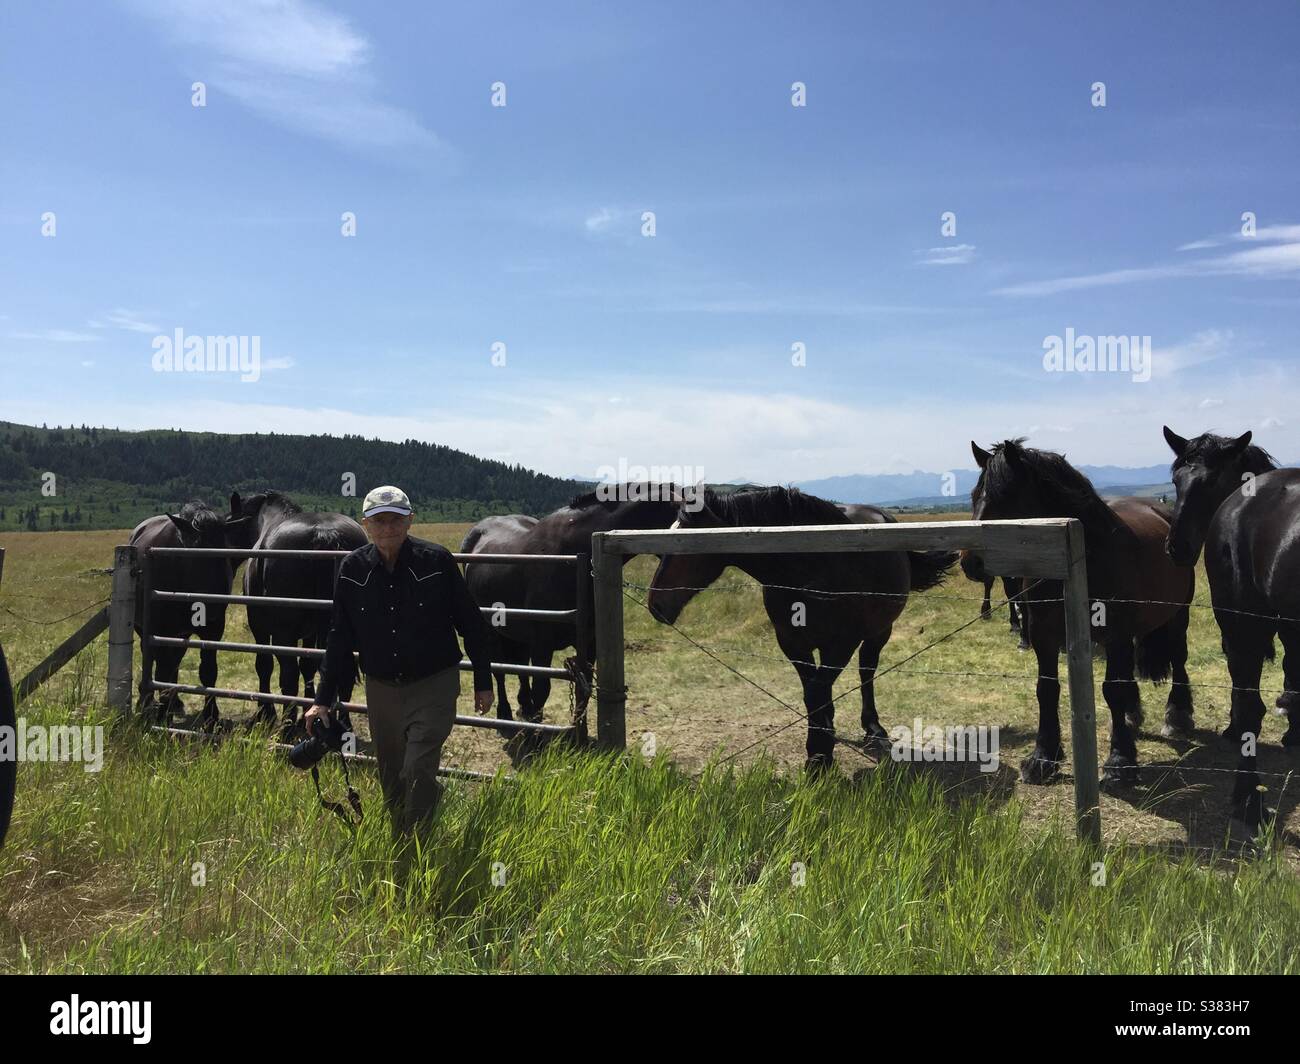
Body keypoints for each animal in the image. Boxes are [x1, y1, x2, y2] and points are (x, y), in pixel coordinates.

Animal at [128, 500, 242, 728]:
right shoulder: (160, 631)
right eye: (195, 555)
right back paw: (147, 701)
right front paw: (161, 715)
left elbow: (208, 671)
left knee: (174, 662)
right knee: (152, 658)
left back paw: (174, 702)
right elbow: (162, 669)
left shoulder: (213, 631)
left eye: (225, 553)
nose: (212, 607)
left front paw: (211, 716)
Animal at [226, 491, 366, 733]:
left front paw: (266, 713)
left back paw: (287, 726)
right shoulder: (311, 632)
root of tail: (324, 534)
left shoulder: (259, 627)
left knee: (288, 675)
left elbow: (264, 665)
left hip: (284, 633)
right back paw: (343, 725)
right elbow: (308, 667)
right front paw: (307, 712)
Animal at [460, 485, 684, 723]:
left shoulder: (589, 641)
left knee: (519, 665)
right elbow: (542, 689)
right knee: (499, 670)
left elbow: (583, 689)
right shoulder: (542, 643)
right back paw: (505, 713)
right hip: (492, 630)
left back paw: (523, 706)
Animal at [646, 486, 957, 769]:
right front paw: (821, 744)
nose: (655, 605)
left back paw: (873, 727)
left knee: (866, 670)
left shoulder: (841, 645)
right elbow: (812, 693)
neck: (816, 566)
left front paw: (819, 755)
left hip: (879, 632)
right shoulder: (792, 643)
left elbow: (818, 691)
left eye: (685, 545)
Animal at [961, 439, 1195, 793]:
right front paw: (1043, 758)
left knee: (1178, 658)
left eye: (1005, 496)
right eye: (975, 497)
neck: (1080, 559)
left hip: (1178, 615)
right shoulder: (1044, 637)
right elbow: (1046, 690)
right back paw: (1132, 715)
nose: (970, 562)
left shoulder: (1114, 636)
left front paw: (1120, 763)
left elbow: (1112, 690)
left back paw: (1178, 716)